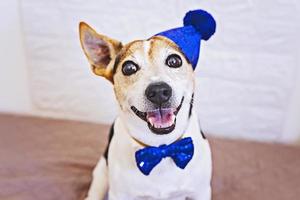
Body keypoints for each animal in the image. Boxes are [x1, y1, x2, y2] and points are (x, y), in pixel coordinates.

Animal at [79, 9, 216, 200]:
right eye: (128, 68)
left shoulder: (201, 191)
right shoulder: (119, 194)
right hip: (101, 174)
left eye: (174, 61)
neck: (161, 148)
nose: (158, 91)